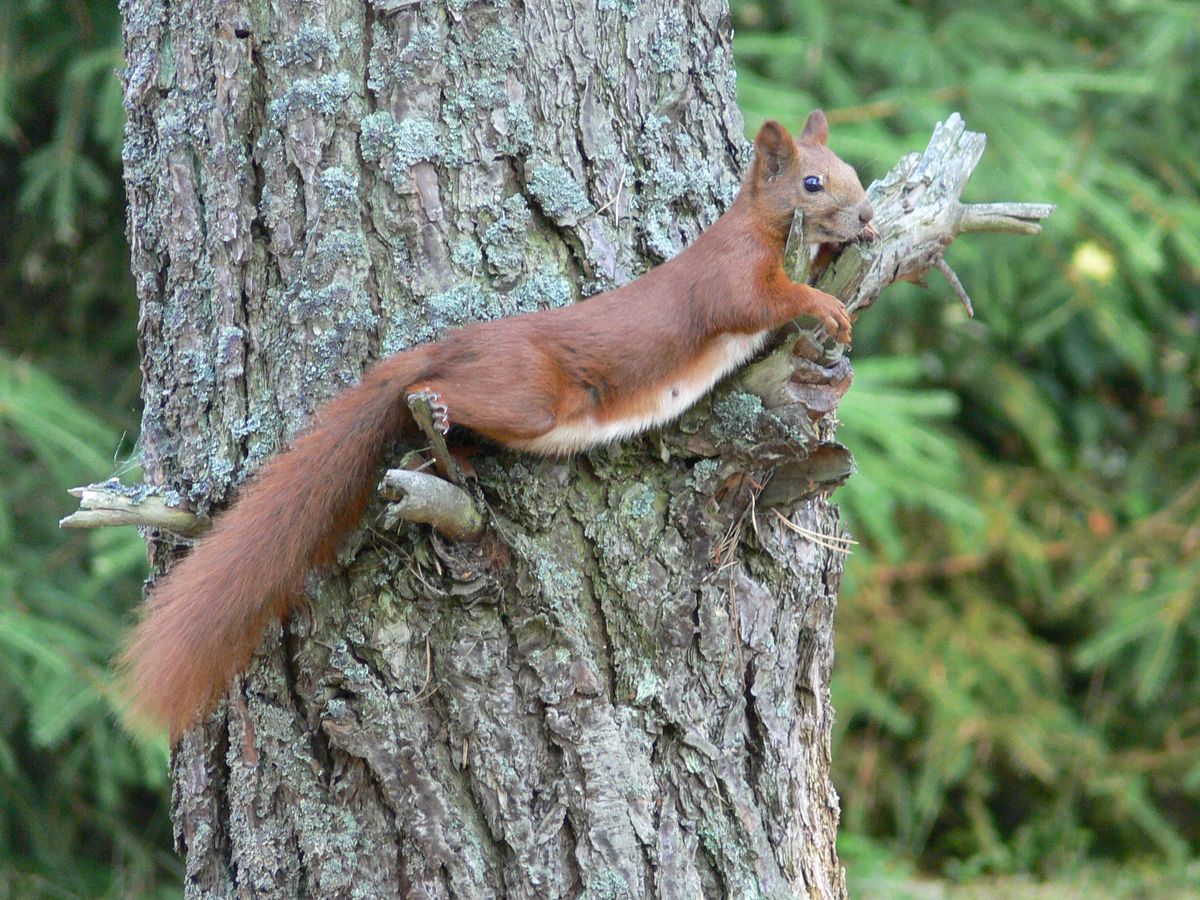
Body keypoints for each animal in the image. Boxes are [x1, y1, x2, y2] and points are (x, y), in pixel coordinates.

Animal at [121, 111, 873, 739]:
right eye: (812, 181)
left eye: (853, 170)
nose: (866, 212)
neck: (756, 227)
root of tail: (452, 346)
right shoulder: (729, 278)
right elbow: (767, 298)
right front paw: (823, 306)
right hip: (525, 393)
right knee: (432, 394)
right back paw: (435, 409)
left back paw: (451, 458)